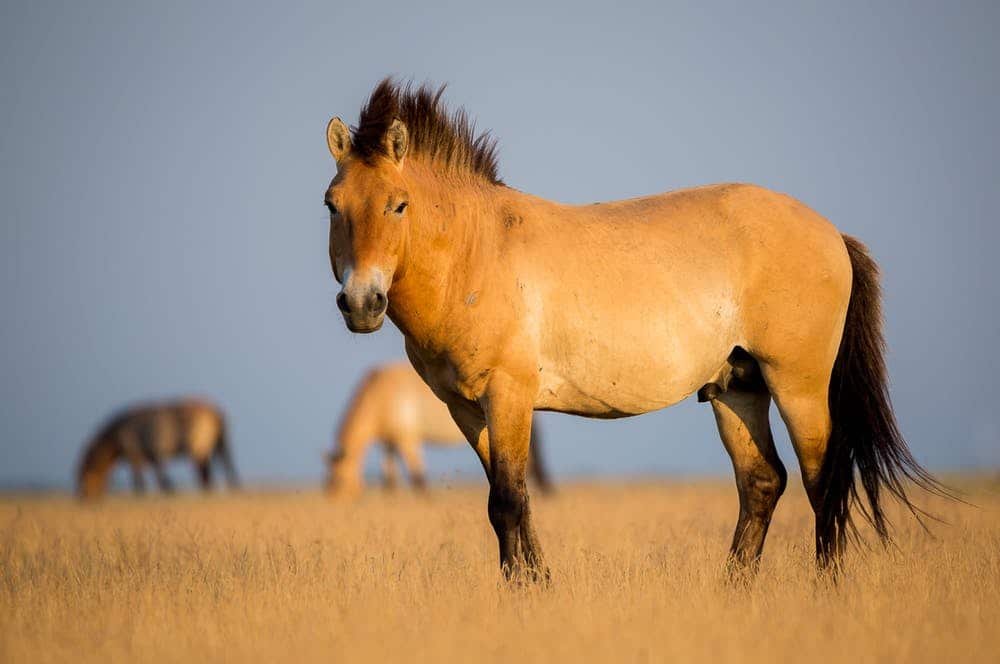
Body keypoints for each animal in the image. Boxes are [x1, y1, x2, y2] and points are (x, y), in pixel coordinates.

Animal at [76, 398, 239, 499]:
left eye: (85, 478)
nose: (83, 499)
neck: (114, 436)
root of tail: (215, 412)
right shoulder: (151, 456)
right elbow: (160, 476)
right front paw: (169, 492)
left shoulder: (134, 452)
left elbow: (141, 479)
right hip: (215, 444)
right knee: (212, 470)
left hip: (197, 446)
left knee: (204, 472)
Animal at [325, 361, 554, 497]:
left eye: (339, 480)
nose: (335, 503)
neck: (380, 395)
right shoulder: (390, 444)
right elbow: (389, 480)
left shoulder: (408, 441)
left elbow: (418, 479)